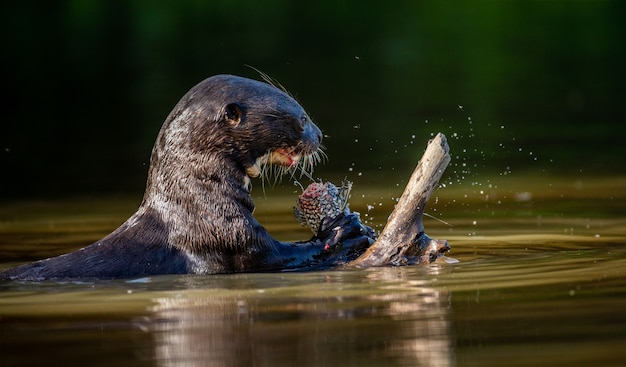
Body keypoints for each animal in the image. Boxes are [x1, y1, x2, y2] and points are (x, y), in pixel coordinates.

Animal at [0, 75, 372, 282]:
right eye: (302, 117)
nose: (320, 136)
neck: (197, 205)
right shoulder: (228, 237)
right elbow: (281, 254)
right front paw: (347, 232)